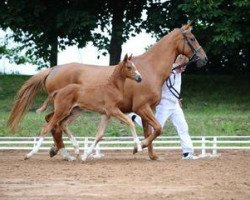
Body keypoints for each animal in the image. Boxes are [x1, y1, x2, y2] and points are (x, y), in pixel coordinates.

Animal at [7, 23, 207, 161]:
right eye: (192, 38)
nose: (204, 59)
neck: (149, 69)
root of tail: (53, 69)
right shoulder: (142, 108)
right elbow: (157, 129)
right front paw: (138, 147)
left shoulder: (147, 109)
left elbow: (150, 131)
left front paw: (152, 155)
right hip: (65, 109)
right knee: (54, 125)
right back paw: (64, 152)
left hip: (72, 110)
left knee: (54, 123)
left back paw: (61, 151)